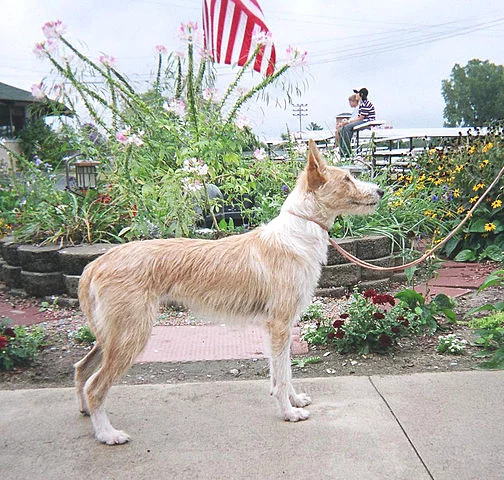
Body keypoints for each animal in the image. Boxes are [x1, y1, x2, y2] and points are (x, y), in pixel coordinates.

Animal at [75, 140, 382, 446]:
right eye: (347, 179)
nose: (380, 190)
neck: (298, 232)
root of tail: (94, 265)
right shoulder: (280, 324)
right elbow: (282, 374)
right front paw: (289, 412)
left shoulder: (277, 328)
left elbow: (282, 370)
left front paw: (294, 400)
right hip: (131, 334)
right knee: (95, 386)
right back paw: (107, 433)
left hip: (112, 335)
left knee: (82, 369)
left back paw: (86, 412)